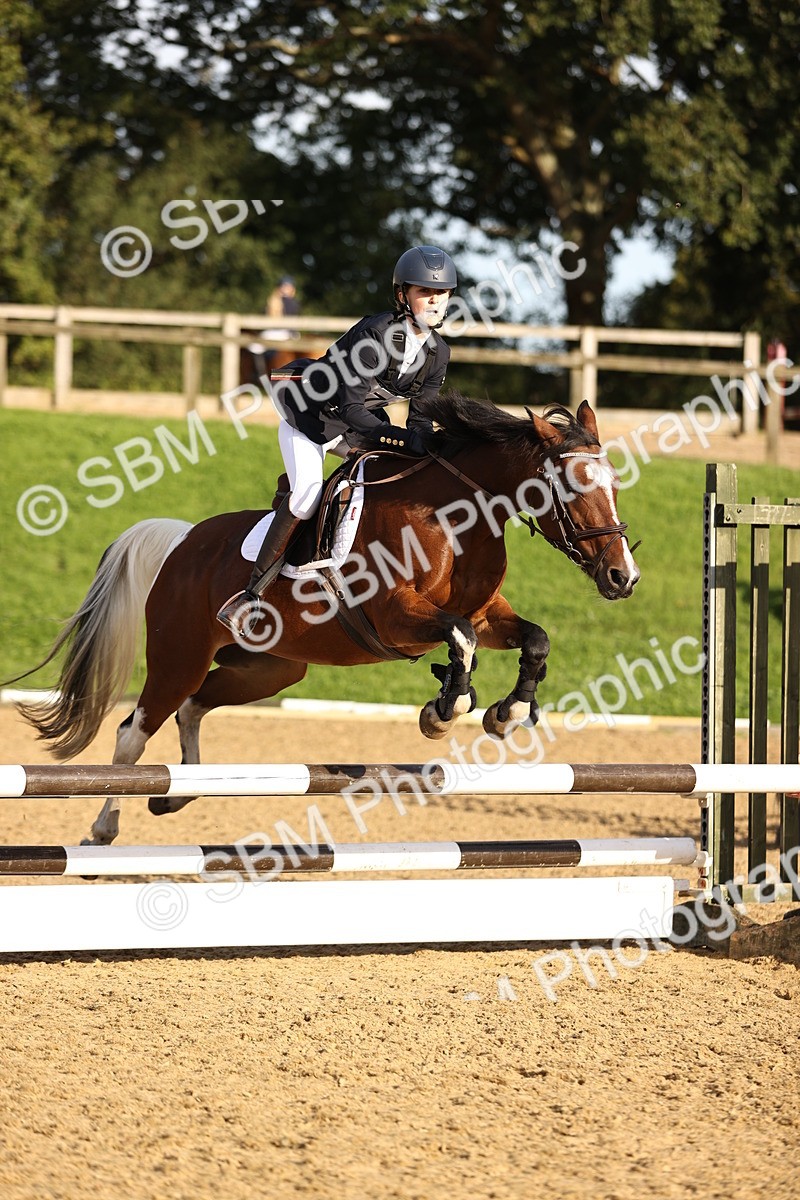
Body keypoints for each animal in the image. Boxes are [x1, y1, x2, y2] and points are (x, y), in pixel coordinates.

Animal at [15, 393, 640, 845]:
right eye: (574, 485)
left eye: (613, 484)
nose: (622, 576)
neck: (456, 517)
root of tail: (182, 541)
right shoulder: (395, 616)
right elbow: (457, 639)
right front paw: (444, 711)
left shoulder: (489, 615)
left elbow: (534, 638)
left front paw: (507, 713)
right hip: (179, 656)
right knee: (134, 732)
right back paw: (103, 827)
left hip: (270, 668)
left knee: (194, 706)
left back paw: (180, 791)